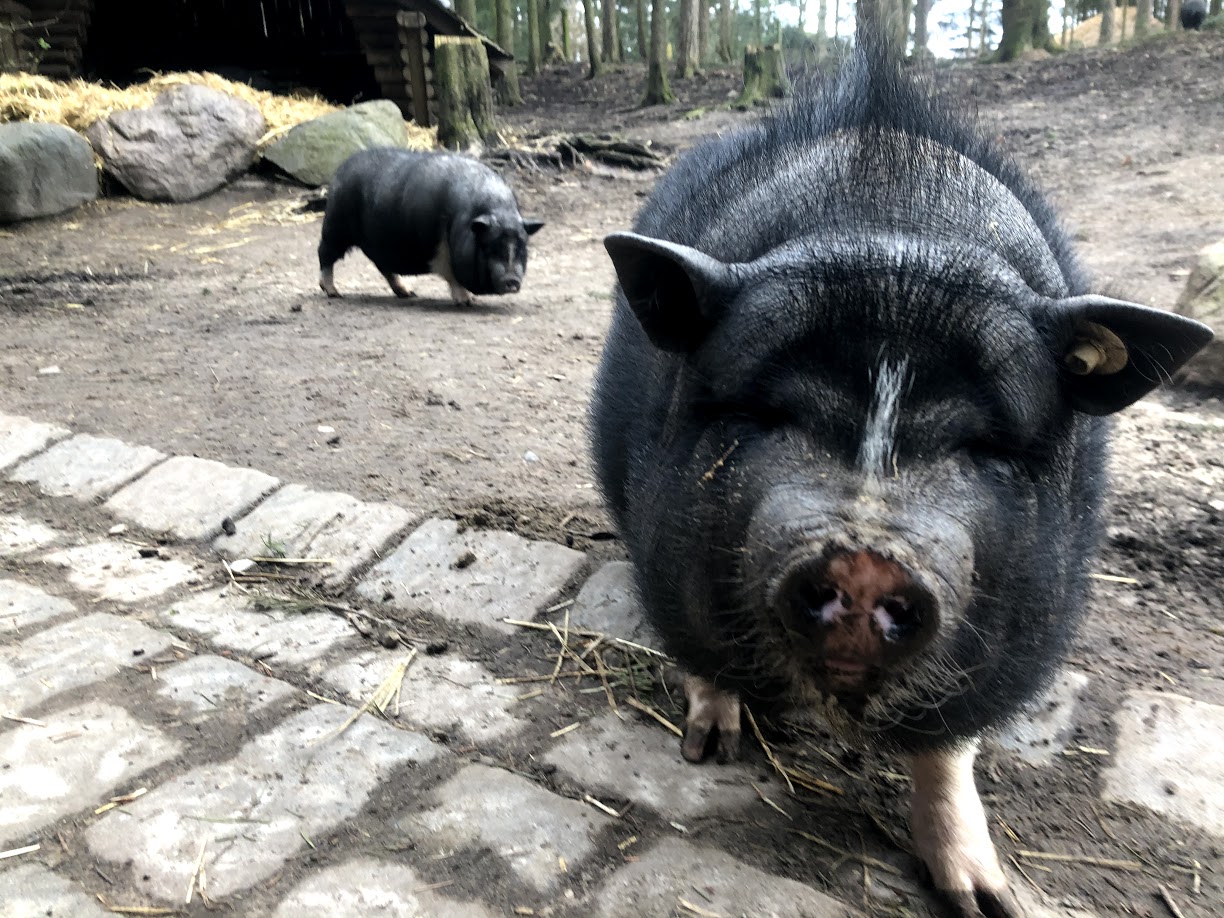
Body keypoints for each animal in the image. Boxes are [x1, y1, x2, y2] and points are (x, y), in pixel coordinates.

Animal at [318, 148, 544, 303]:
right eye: (491, 247)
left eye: (522, 248)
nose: (512, 280)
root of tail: (341, 169)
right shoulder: (444, 252)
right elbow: (452, 275)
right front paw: (468, 300)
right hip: (336, 227)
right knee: (325, 254)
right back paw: (334, 293)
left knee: (384, 267)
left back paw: (409, 293)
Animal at [588, 33, 1212, 918]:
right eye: (771, 411)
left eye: (982, 442)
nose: (865, 560)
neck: (894, 233)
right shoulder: (670, 545)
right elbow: (701, 650)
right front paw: (707, 751)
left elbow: (946, 753)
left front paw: (988, 900)